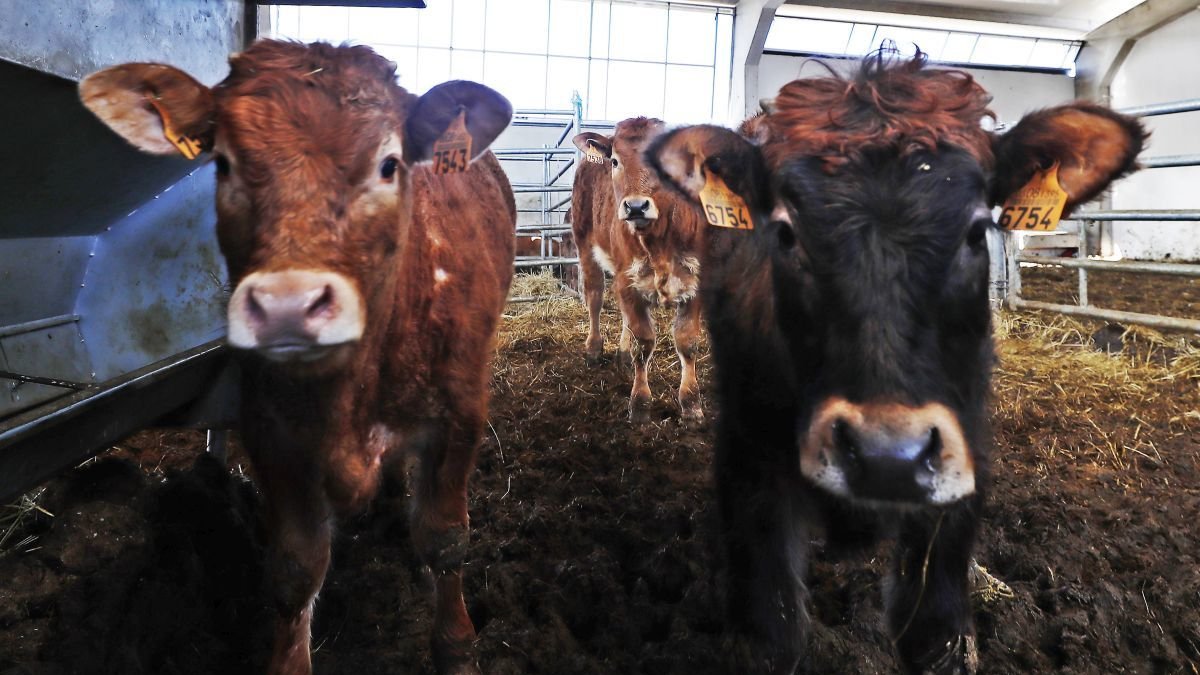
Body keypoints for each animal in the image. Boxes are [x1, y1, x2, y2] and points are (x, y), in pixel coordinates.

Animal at [80, 40, 516, 675]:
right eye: (222, 164)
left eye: (389, 164)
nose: (288, 305)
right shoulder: (271, 431)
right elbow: (295, 567)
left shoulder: (460, 412)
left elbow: (445, 539)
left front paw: (457, 646)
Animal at [571, 118, 706, 422]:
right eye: (615, 161)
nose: (635, 206)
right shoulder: (627, 280)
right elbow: (643, 342)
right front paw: (640, 403)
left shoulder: (697, 282)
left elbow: (687, 341)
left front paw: (691, 403)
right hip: (584, 243)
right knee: (595, 297)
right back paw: (593, 349)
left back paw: (621, 354)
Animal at [645, 52, 1145, 674]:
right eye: (784, 232)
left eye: (977, 230)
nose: (888, 456)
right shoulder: (748, 457)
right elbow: (772, 634)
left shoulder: (962, 452)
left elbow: (935, 634)